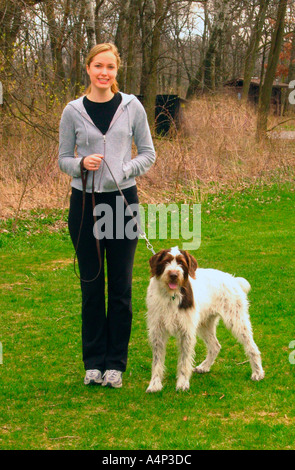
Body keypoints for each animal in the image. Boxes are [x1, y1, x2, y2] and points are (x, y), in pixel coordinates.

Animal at [147, 246, 264, 392]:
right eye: (166, 261)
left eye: (181, 263)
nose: (173, 275)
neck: (170, 296)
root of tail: (233, 279)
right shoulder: (157, 331)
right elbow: (157, 361)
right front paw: (155, 383)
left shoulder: (186, 331)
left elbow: (184, 361)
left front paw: (182, 382)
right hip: (205, 324)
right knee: (215, 346)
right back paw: (205, 366)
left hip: (237, 320)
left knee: (252, 347)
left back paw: (258, 372)